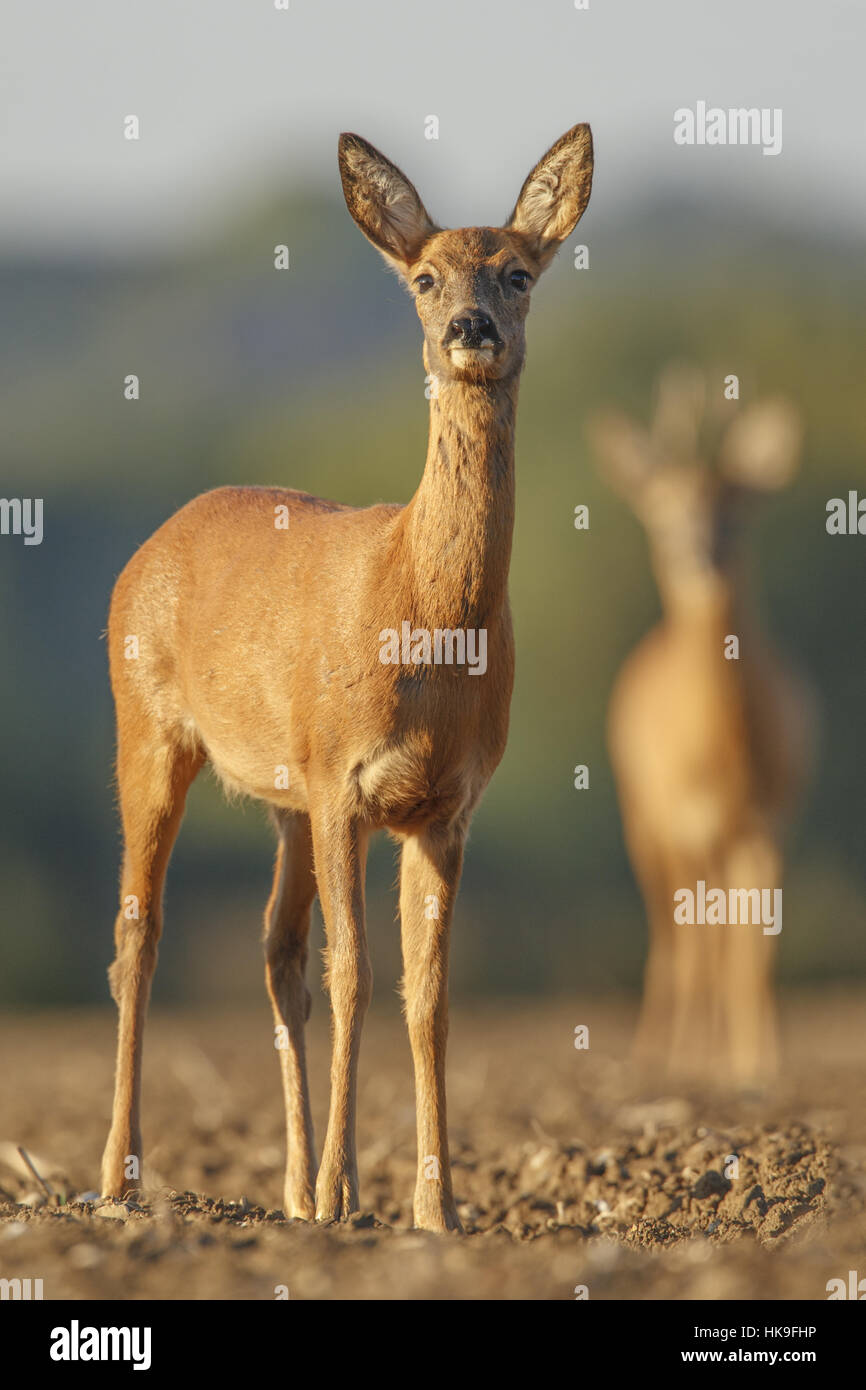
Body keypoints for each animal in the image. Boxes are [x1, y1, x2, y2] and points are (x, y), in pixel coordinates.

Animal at [592, 369, 817, 1084]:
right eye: (659, 509)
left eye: (736, 507)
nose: (697, 554)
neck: (725, 747)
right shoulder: (687, 819)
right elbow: (702, 943)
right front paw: (701, 1060)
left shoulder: (771, 819)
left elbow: (757, 947)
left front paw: (760, 1063)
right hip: (644, 820)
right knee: (675, 935)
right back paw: (659, 1050)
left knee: (716, 934)